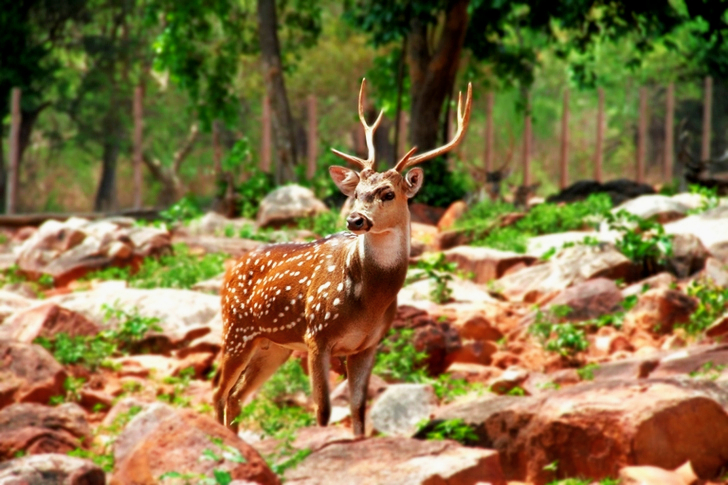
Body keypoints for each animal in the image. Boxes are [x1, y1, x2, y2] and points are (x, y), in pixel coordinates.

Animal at [214, 79, 472, 437]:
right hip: (237, 329)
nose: (355, 220)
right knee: (219, 393)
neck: (366, 302)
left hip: (274, 345)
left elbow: (358, 411)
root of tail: (230, 269)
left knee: (237, 397)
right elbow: (322, 411)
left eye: (388, 193)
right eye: (356, 192)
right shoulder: (317, 335)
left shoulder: (368, 344)